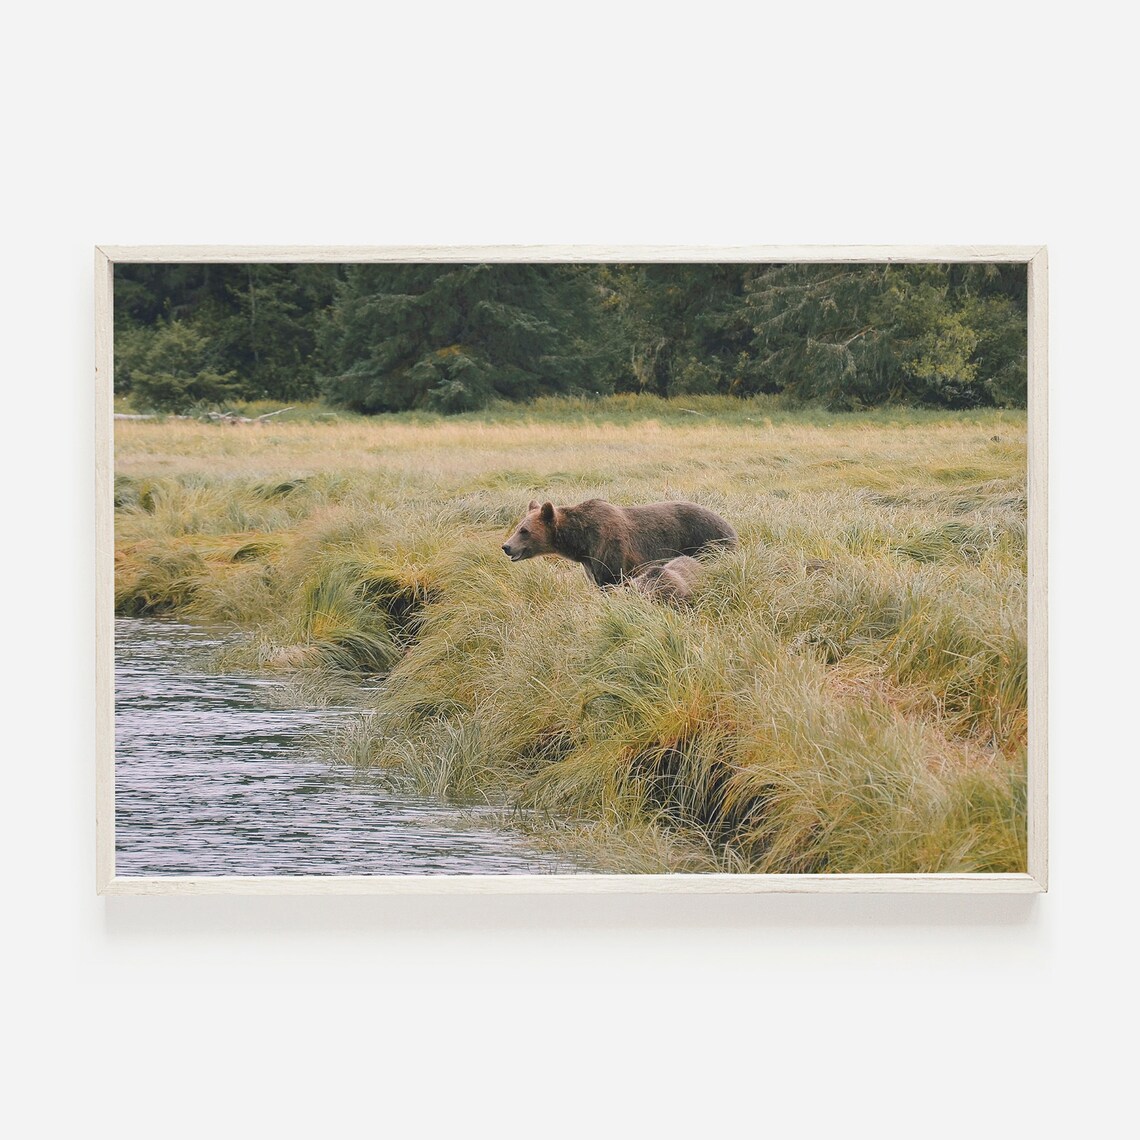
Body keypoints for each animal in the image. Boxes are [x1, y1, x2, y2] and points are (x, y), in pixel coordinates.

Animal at [501, 498, 736, 588]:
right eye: (518, 526)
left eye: (524, 531)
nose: (506, 547)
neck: (580, 543)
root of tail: (731, 527)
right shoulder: (590, 563)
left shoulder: (609, 551)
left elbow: (612, 581)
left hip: (707, 544)